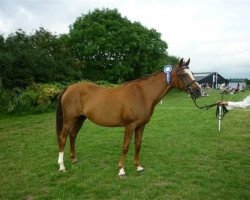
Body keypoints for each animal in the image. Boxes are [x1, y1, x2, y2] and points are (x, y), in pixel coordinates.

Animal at [56, 58, 201, 177]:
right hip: (69, 120)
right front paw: (121, 170)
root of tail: (69, 88)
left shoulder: (141, 126)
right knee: (63, 138)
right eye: (183, 74)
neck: (142, 95)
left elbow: (137, 145)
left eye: (192, 73)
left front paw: (138, 167)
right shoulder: (130, 126)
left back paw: (73, 160)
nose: (198, 91)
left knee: (73, 135)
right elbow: (125, 146)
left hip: (80, 118)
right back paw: (62, 167)